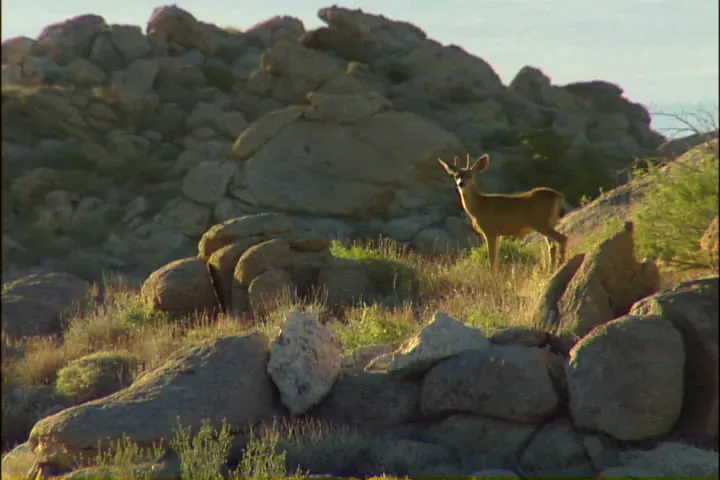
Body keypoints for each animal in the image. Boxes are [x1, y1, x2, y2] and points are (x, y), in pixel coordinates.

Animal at [437, 153, 568, 273]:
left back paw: (559, 268)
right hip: (548, 223)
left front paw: (492, 278)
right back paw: (551, 271)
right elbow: (496, 259)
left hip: (540, 222)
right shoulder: (498, 234)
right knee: (552, 247)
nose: (461, 183)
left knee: (562, 239)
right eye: (456, 176)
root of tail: (558, 196)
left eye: (470, 175)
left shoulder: (489, 230)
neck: (478, 206)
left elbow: (492, 259)